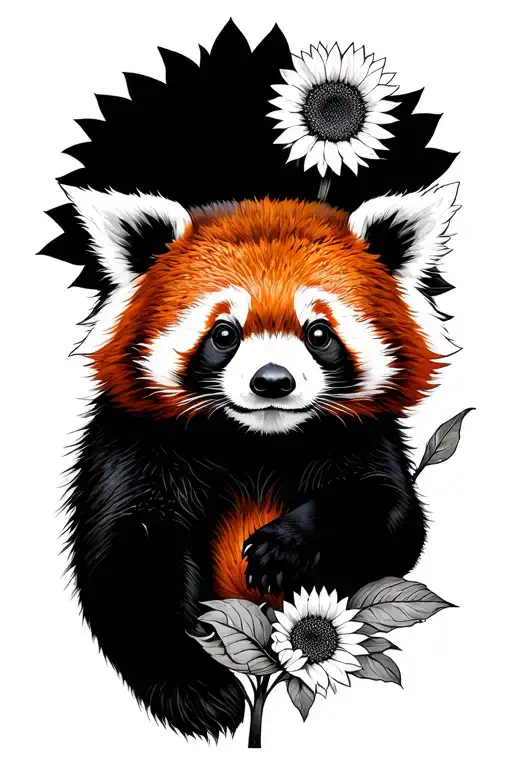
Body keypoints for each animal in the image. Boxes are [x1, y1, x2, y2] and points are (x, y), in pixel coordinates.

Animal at [42, 22, 459, 742]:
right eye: (224, 333)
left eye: (318, 333)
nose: (271, 381)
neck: (255, 443)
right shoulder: (136, 445)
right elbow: (128, 563)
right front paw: (198, 692)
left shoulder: (364, 437)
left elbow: (390, 518)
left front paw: (285, 547)